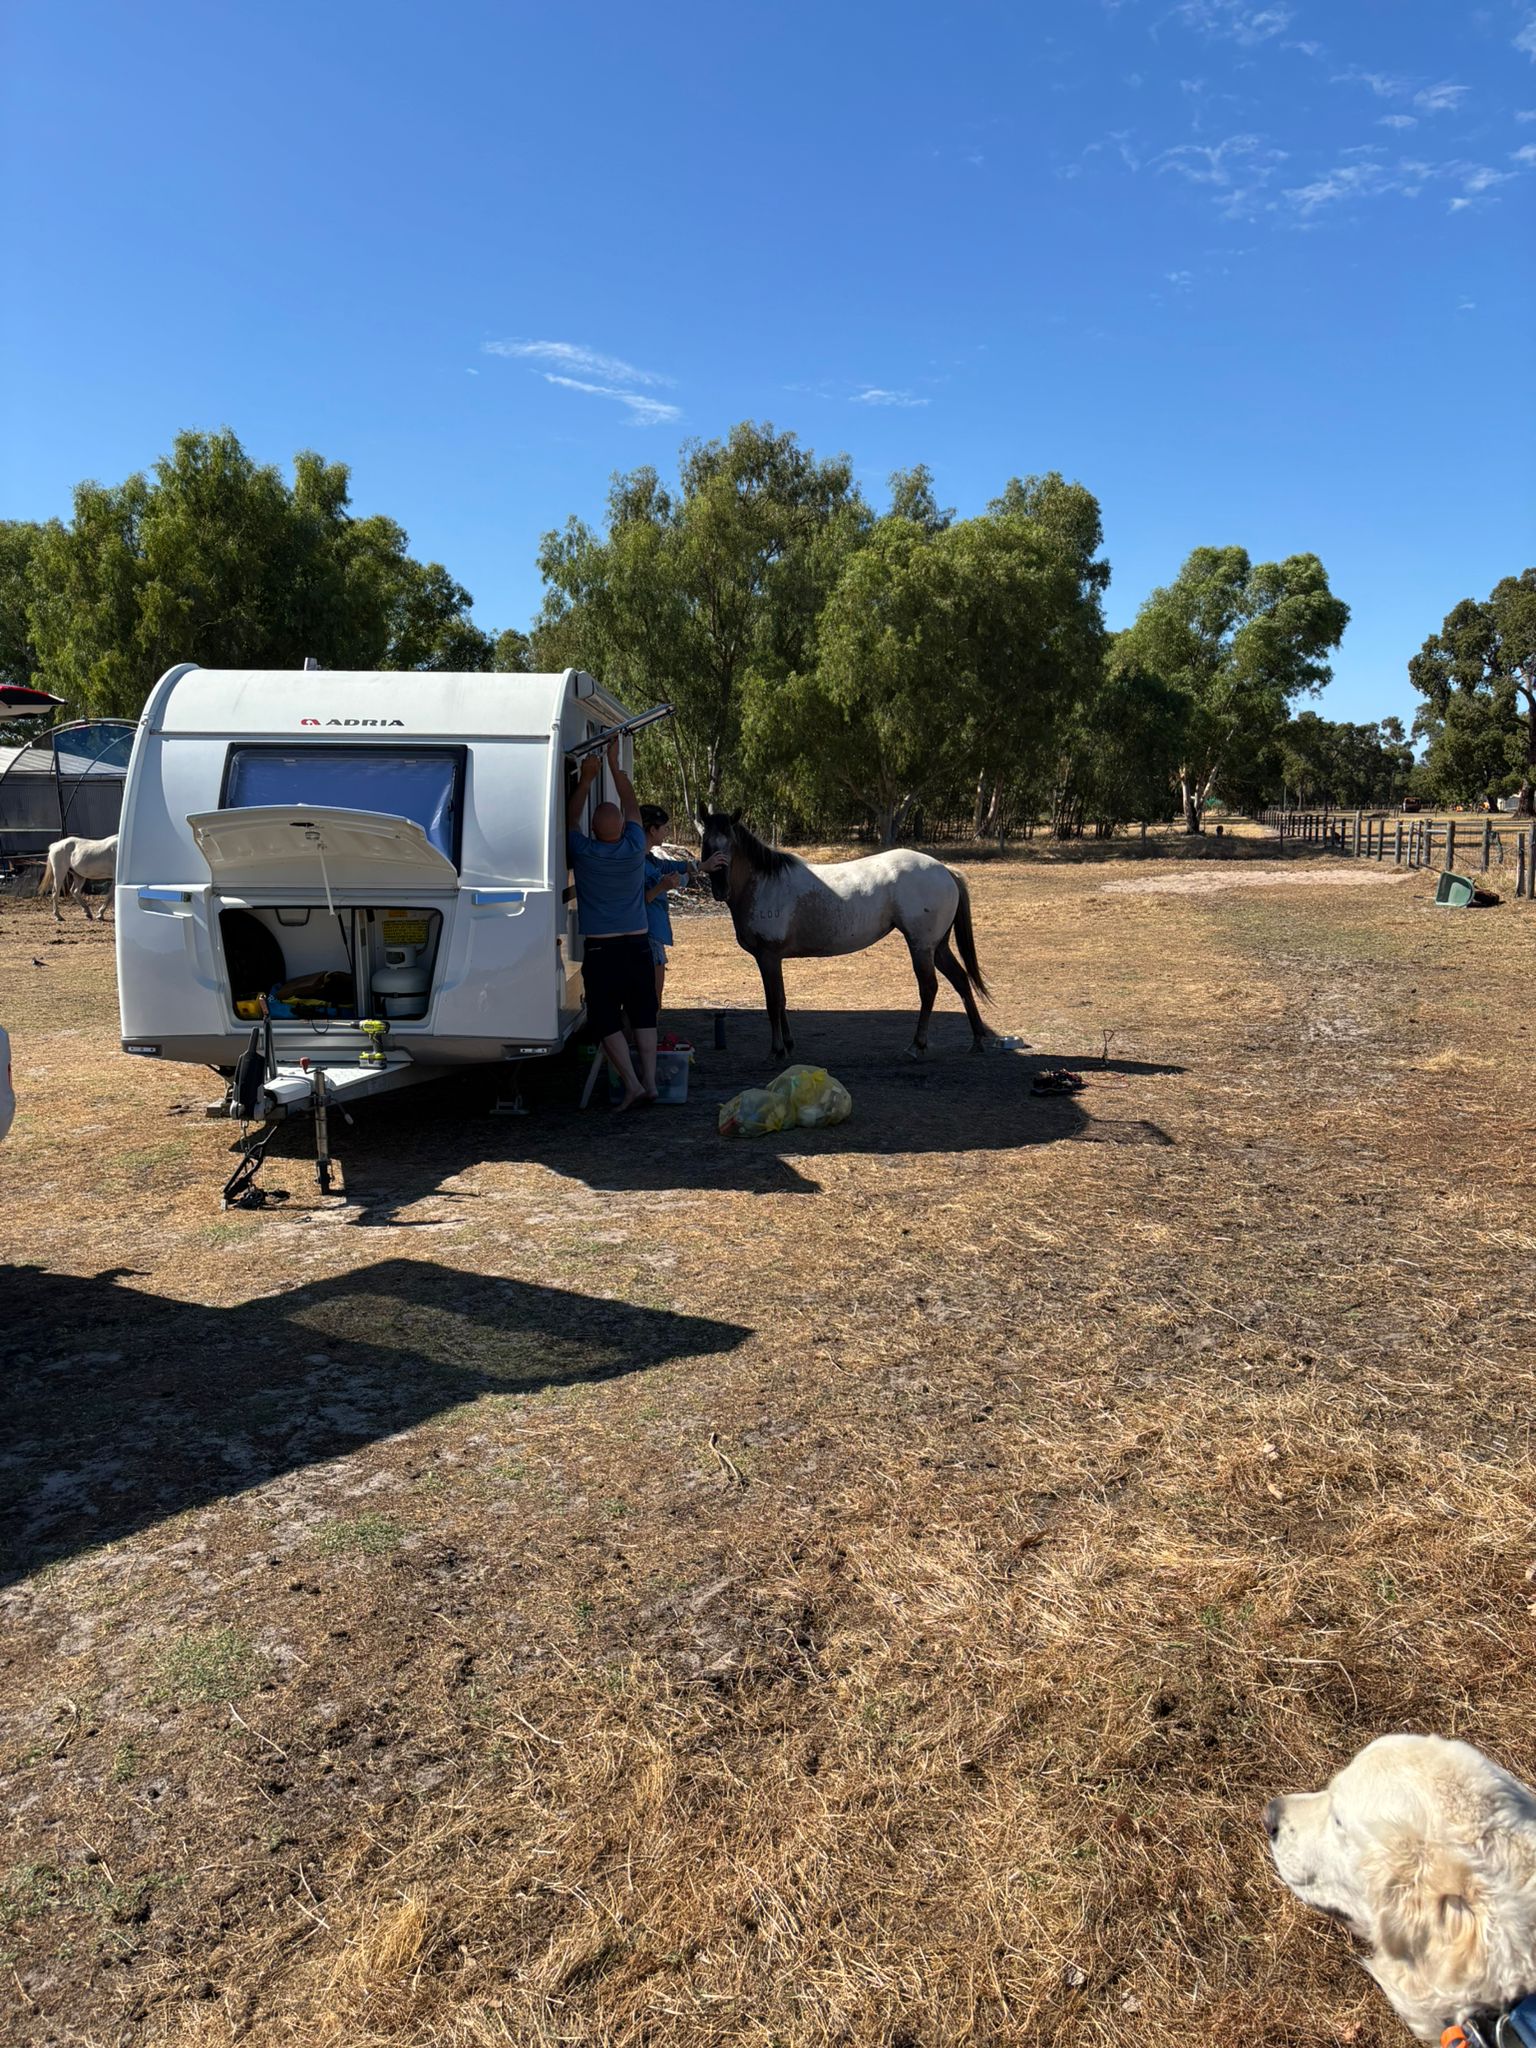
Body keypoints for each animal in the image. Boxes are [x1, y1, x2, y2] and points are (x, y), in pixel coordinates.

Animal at [696, 809, 994, 1059]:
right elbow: (781, 1000)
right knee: (961, 980)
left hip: (921, 946)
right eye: (706, 844)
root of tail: (946, 870)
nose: (720, 890)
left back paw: (916, 1045)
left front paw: (777, 1050)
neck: (765, 883)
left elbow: (773, 1002)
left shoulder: (767, 957)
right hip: (937, 946)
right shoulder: (774, 959)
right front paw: (788, 1045)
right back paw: (977, 1040)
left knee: (929, 987)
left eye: (730, 845)